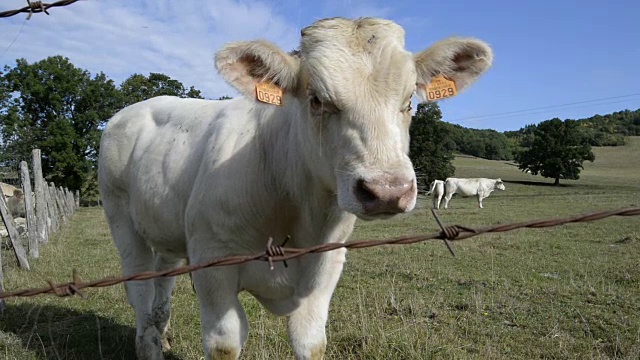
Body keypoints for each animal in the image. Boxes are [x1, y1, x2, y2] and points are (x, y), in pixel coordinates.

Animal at [97, 16, 492, 360]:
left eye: (410, 100)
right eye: (316, 99)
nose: (387, 190)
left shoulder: (328, 263)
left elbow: (310, 341)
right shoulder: (212, 264)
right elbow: (225, 343)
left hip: (165, 228)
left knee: (161, 282)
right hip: (121, 220)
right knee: (139, 289)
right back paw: (149, 345)